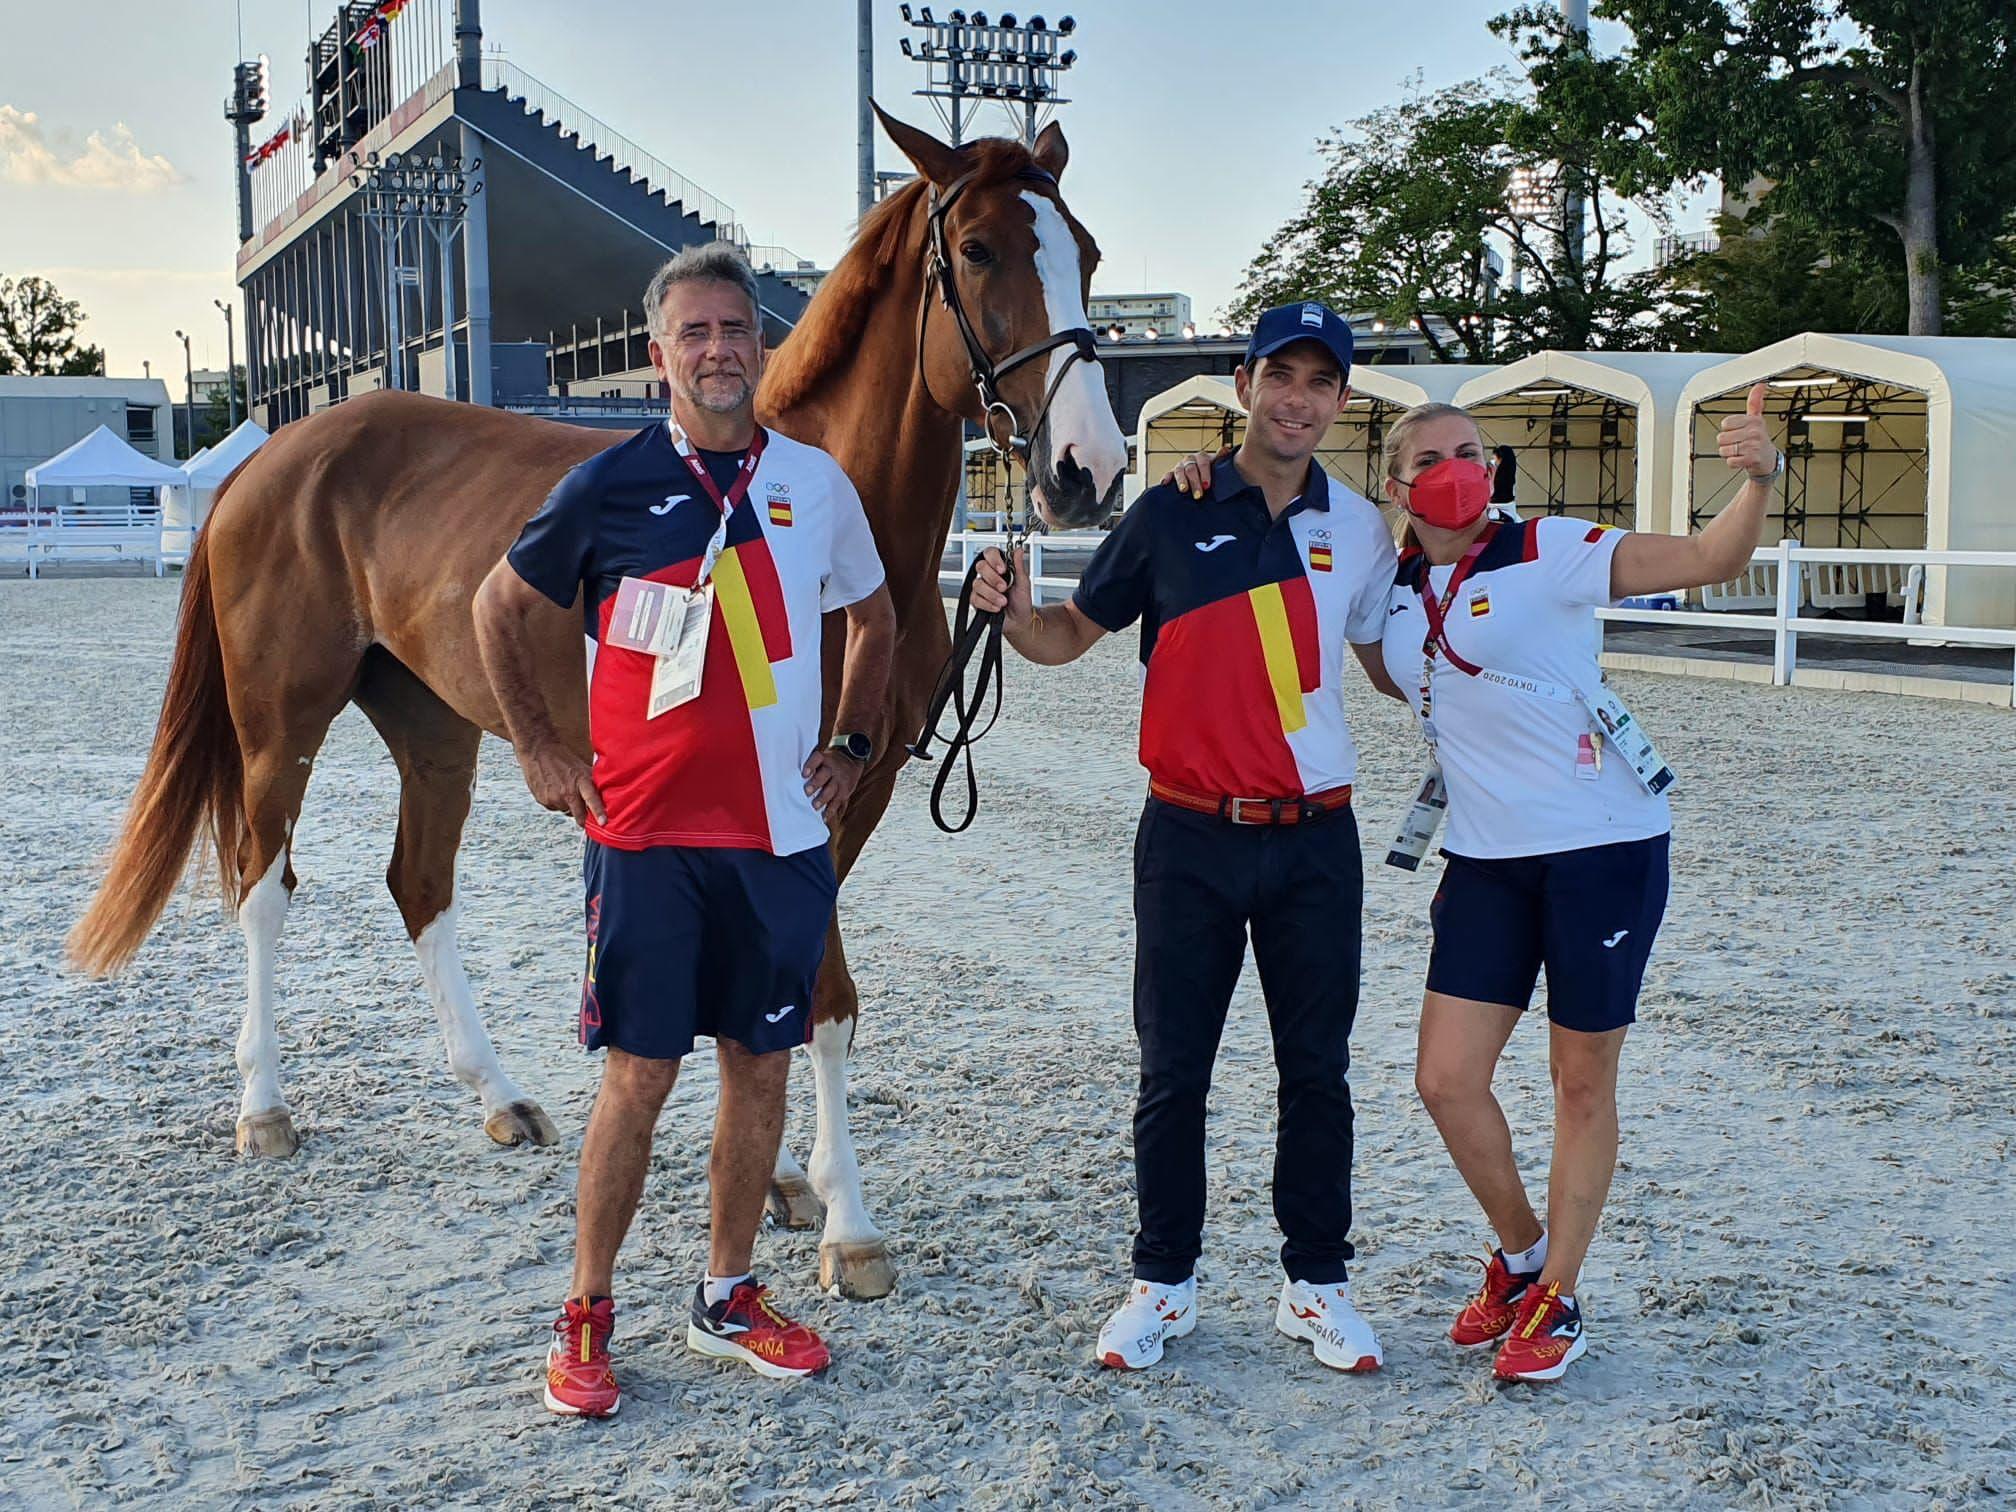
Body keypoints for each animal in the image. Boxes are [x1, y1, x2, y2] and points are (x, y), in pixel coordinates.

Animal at [67, 115, 1137, 1306]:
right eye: (984, 250)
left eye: (1087, 253)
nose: (1089, 471)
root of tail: (272, 459)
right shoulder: (797, 804)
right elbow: (821, 999)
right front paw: (847, 1226)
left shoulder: (847, 793)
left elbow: (797, 999)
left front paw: (782, 1184)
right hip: (279, 726)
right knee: (263, 888)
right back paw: (264, 1108)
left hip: (433, 729)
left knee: (419, 885)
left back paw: (496, 1095)